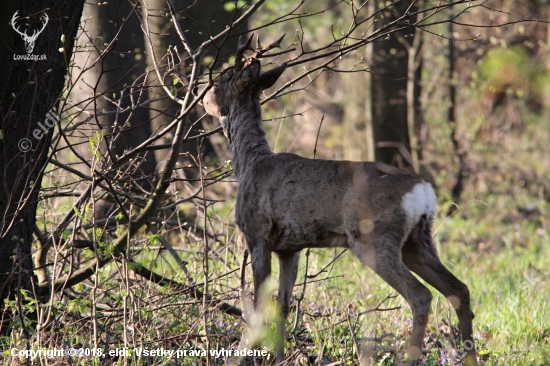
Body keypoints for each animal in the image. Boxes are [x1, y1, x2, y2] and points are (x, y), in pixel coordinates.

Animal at [195, 35, 478, 366]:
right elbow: (283, 304)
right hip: (418, 240)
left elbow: (258, 307)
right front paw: (279, 357)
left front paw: (243, 355)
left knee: (421, 296)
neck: (250, 162)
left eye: (222, 78)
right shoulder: (290, 247)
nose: (200, 91)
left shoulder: (257, 235)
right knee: (459, 289)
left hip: (373, 238)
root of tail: (423, 191)